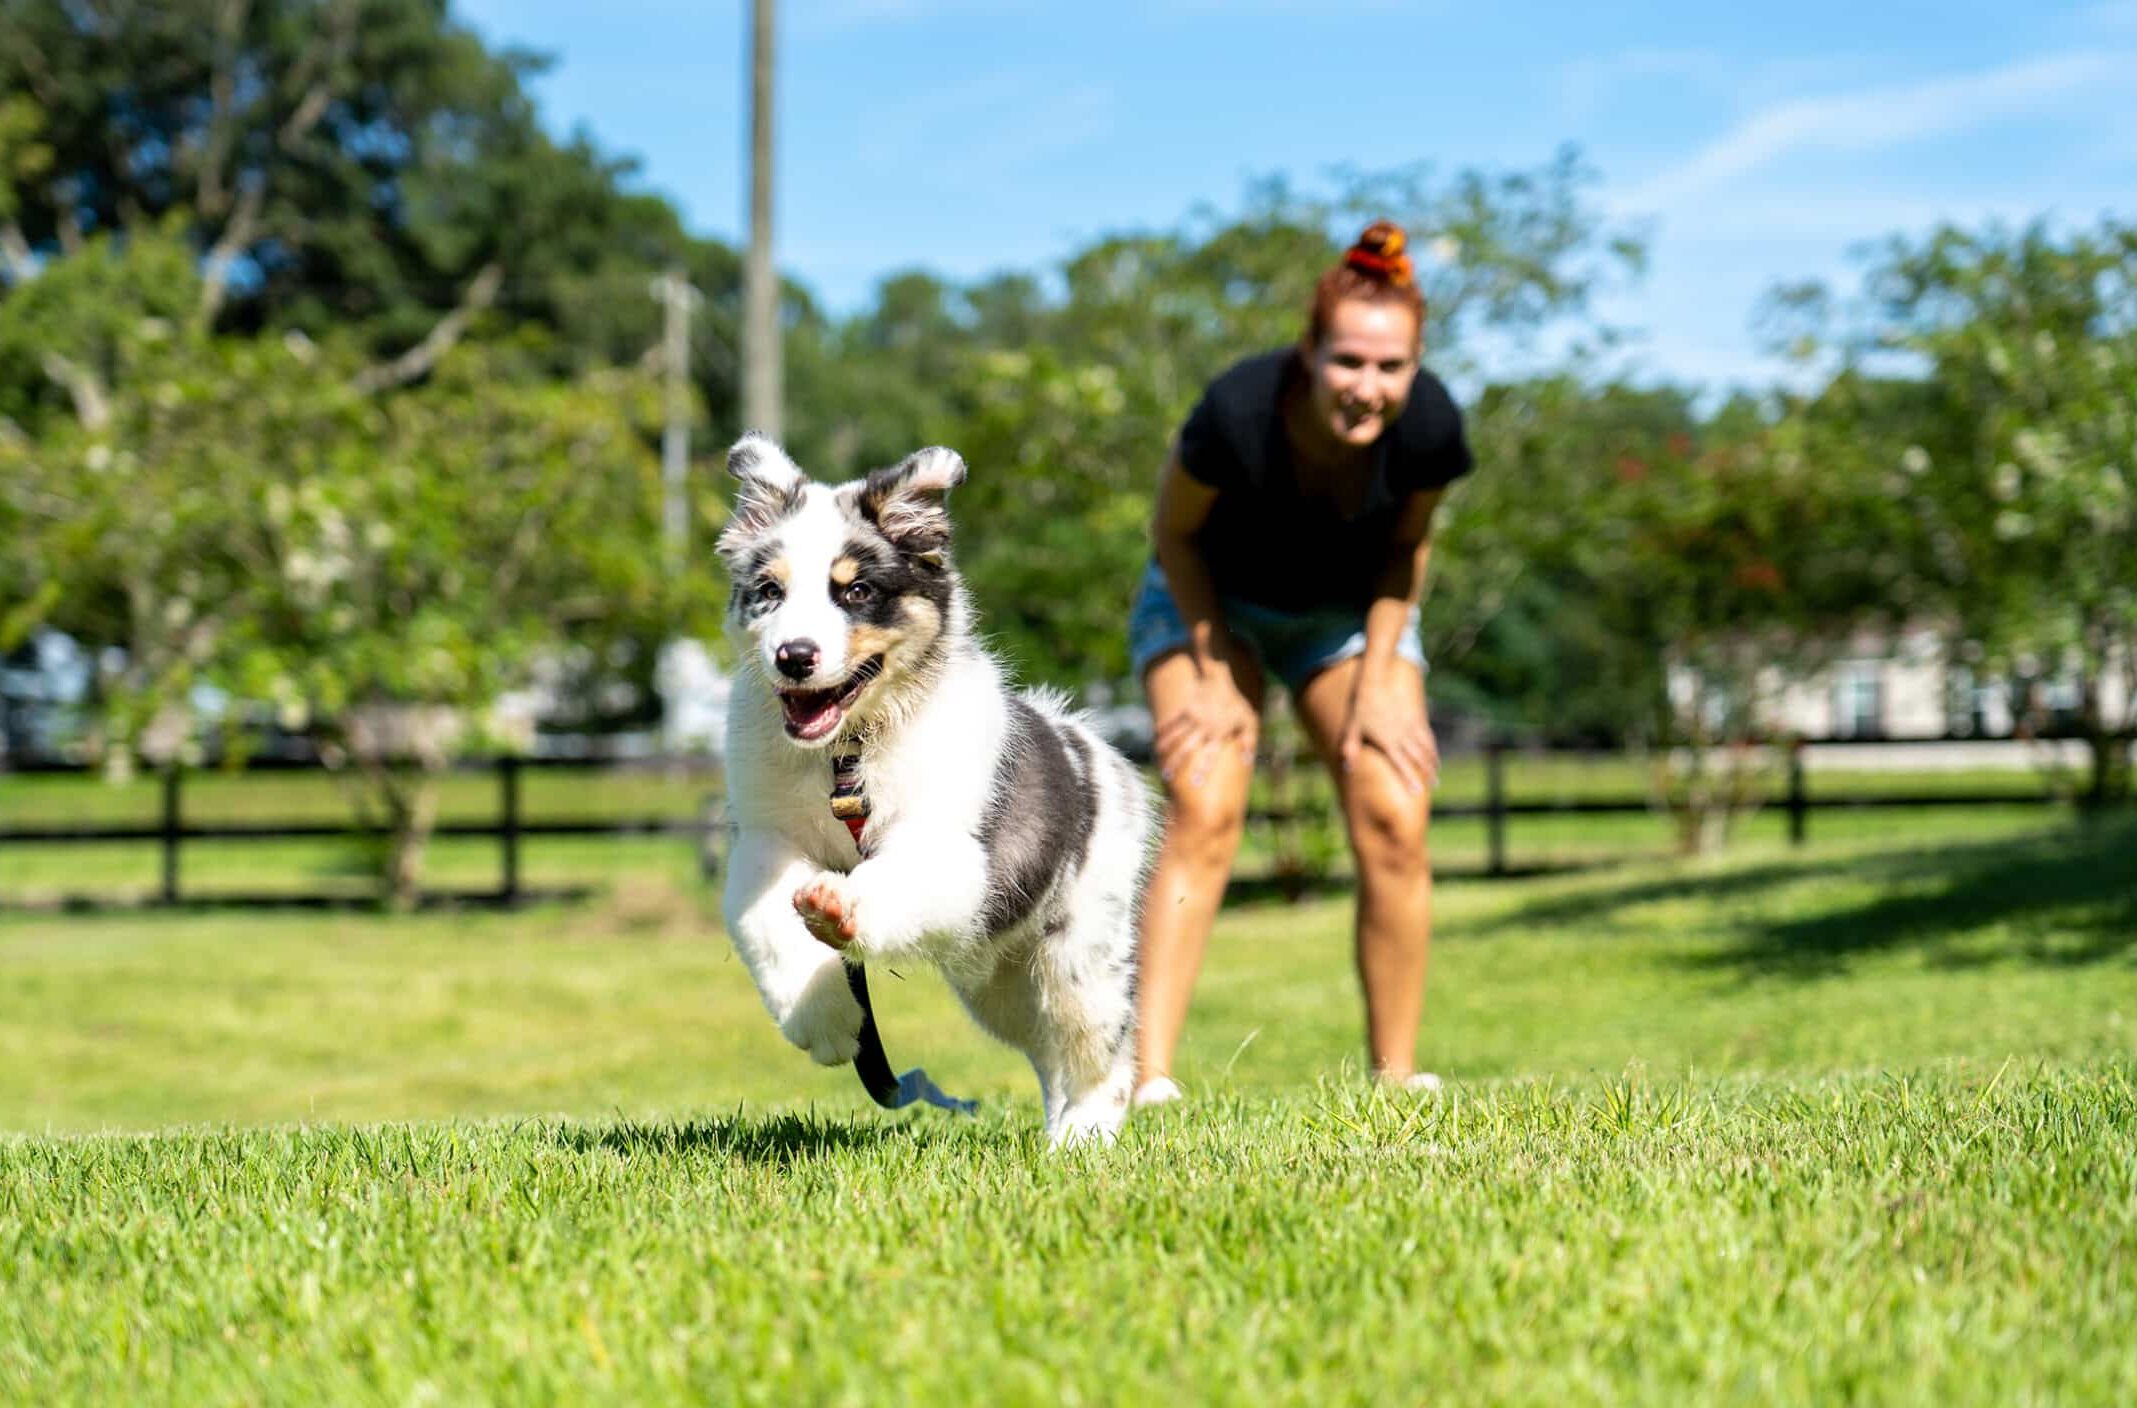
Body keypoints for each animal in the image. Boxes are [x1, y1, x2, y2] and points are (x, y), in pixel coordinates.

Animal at [718, 435, 1153, 1153]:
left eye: (856, 590)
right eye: (769, 591)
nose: (794, 656)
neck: (848, 753)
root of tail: (1092, 749)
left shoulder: (953, 850)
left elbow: (891, 881)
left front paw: (839, 910)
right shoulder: (764, 839)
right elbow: (768, 923)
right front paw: (826, 1023)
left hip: (1079, 952)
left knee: (1100, 1048)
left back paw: (1082, 1138)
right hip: (999, 981)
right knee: (1045, 1053)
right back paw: (1056, 1133)